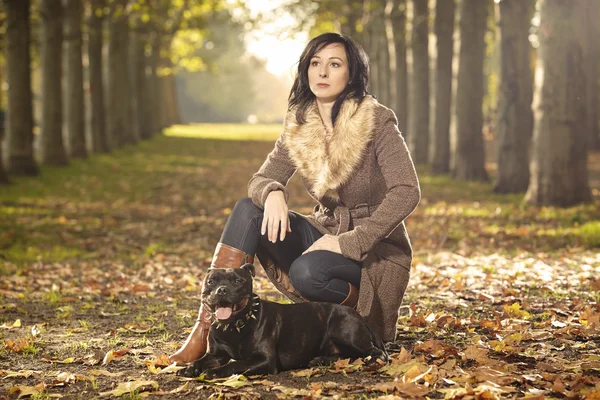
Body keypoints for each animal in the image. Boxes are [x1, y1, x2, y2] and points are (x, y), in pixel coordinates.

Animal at [177, 262, 390, 378]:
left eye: (238, 281)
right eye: (211, 281)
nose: (221, 290)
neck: (234, 325)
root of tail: (360, 316)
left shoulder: (264, 360)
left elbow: (235, 364)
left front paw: (214, 373)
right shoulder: (216, 354)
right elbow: (200, 361)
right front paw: (188, 368)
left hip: (344, 331)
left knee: (373, 352)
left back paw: (370, 361)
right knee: (347, 355)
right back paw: (321, 360)